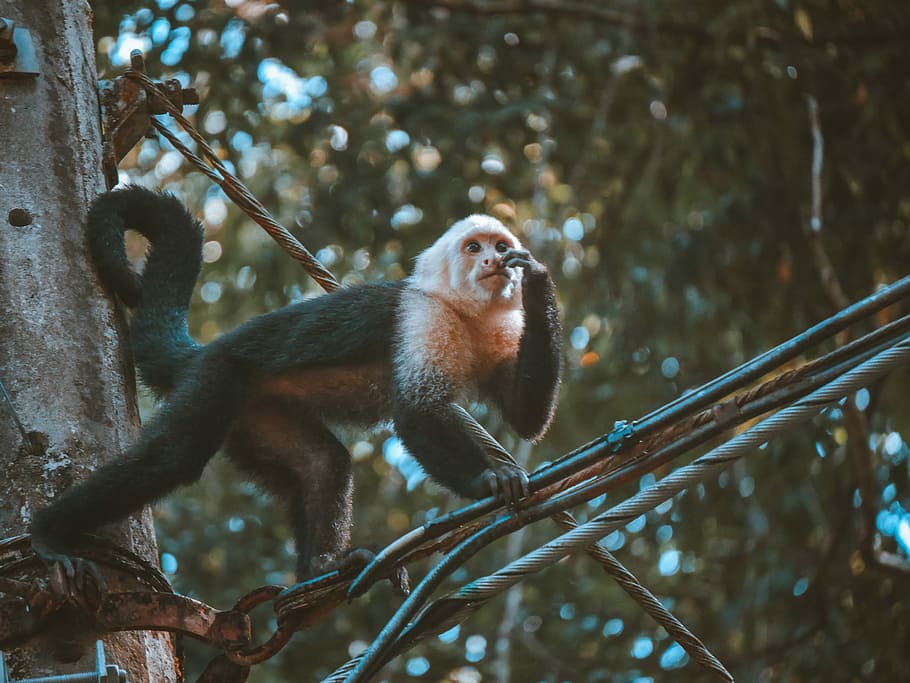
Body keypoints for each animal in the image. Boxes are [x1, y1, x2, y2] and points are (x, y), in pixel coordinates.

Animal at [30, 186, 562, 581]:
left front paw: (537, 280)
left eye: (499, 246)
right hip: (217, 378)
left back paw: (320, 568)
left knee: (323, 464)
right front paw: (485, 481)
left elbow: (526, 418)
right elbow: (415, 413)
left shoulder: (502, 331)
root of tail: (203, 352)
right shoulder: (423, 316)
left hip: (253, 416)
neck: (464, 312)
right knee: (172, 458)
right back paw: (49, 531)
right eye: (474, 248)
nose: (495, 262)